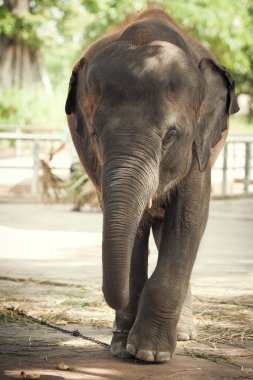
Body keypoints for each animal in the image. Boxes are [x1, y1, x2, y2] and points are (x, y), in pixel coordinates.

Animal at [65, 5, 239, 362]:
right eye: (95, 134)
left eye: (170, 136)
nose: (118, 335)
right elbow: (135, 227)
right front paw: (123, 348)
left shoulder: (200, 147)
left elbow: (189, 220)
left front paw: (149, 354)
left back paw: (182, 334)